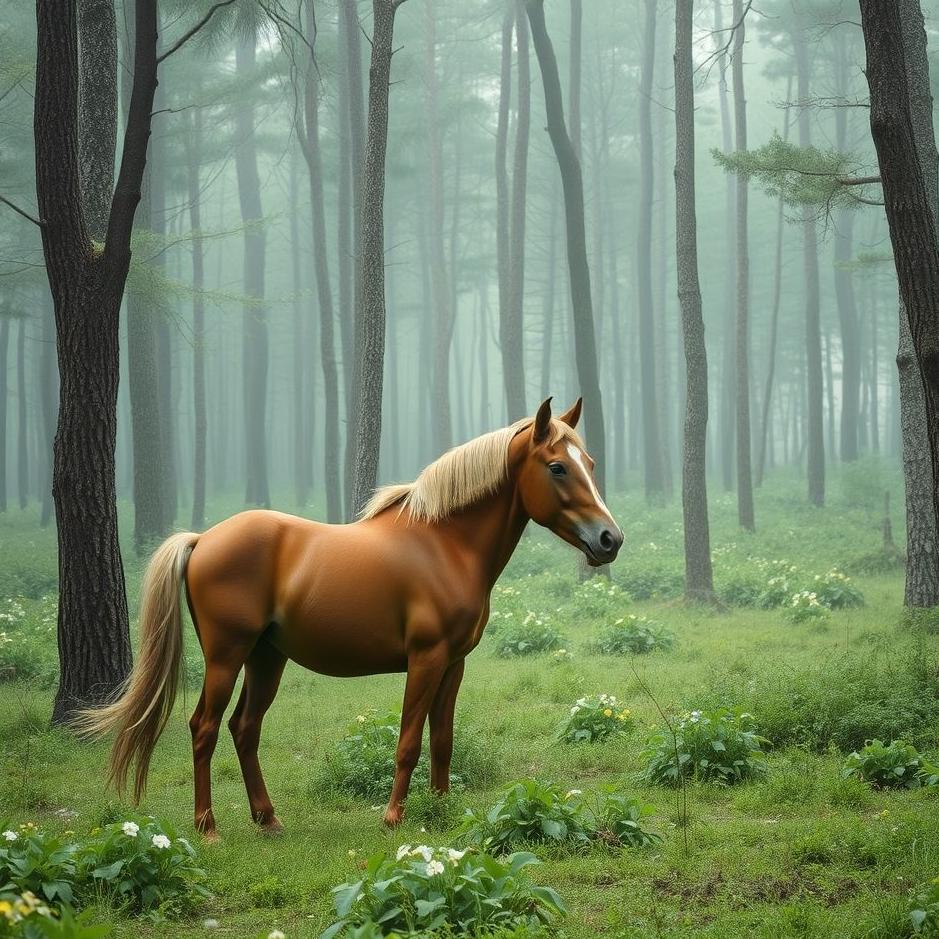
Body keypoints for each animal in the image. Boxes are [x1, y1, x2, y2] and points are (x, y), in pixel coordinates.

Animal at [76, 397, 623, 839]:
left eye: (592, 463)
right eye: (557, 467)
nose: (609, 540)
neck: (445, 545)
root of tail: (203, 539)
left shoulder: (454, 664)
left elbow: (442, 741)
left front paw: (442, 810)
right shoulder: (426, 660)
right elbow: (408, 741)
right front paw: (393, 817)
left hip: (266, 659)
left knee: (244, 728)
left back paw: (268, 819)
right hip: (227, 657)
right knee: (204, 727)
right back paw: (207, 827)